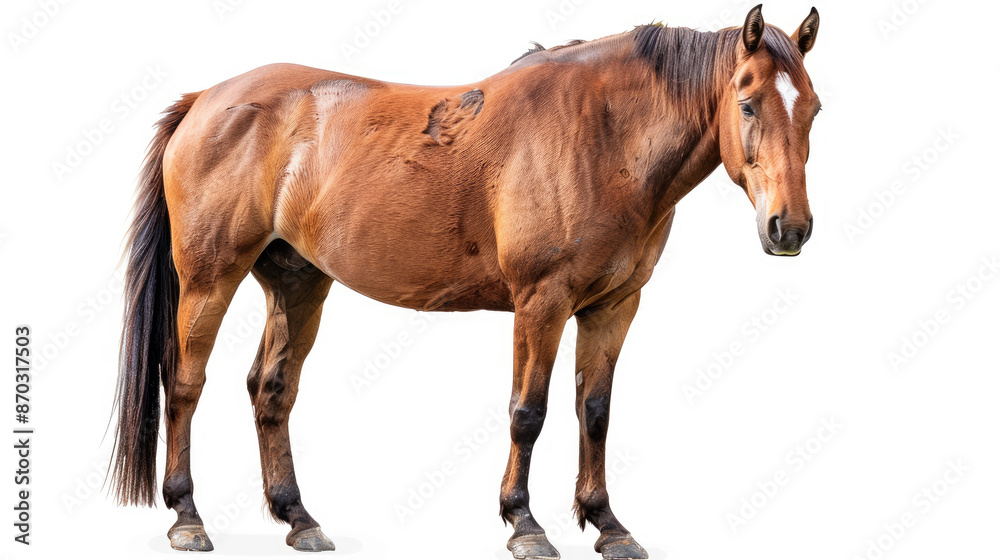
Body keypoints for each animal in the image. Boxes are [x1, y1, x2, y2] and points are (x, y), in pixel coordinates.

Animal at [111, 5, 821, 559]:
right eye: (748, 103)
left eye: (813, 109)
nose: (789, 228)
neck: (603, 137)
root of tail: (205, 100)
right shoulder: (542, 303)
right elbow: (528, 412)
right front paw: (525, 524)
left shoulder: (614, 307)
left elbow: (594, 411)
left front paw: (608, 526)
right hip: (210, 278)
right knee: (185, 383)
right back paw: (188, 518)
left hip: (298, 282)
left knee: (271, 389)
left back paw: (299, 519)